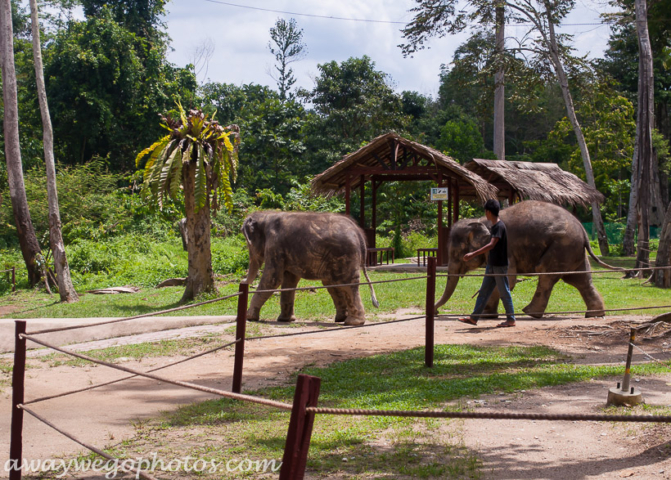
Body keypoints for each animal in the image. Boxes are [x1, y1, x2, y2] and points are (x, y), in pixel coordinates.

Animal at [242, 211, 378, 326]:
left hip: (344, 255)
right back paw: (341, 319)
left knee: (346, 284)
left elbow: (272, 279)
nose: (242, 281)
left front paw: (249, 317)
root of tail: (358, 232)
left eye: (249, 244)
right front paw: (285, 320)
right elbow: (289, 280)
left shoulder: (275, 245)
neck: (266, 215)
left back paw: (352, 322)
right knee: (333, 284)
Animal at [436, 200, 620, 318]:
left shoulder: (504, 248)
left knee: (546, 276)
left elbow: (507, 279)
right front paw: (488, 314)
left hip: (561, 248)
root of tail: (583, 231)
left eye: (456, 253)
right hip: (574, 253)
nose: (436, 312)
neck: (482, 221)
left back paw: (530, 313)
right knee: (580, 280)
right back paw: (594, 315)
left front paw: (486, 315)